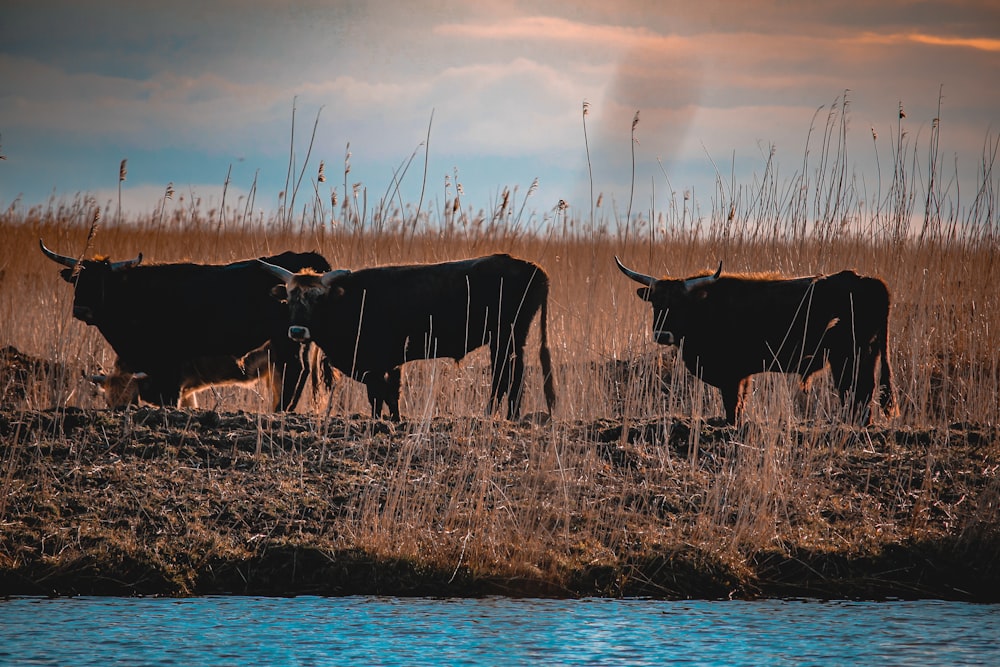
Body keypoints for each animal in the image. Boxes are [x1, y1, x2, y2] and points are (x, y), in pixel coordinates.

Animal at [41, 237, 330, 410]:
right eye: (77, 281)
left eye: (103, 283)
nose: (81, 309)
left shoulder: (169, 370)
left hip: (288, 340)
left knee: (296, 370)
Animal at [258, 253, 556, 420]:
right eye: (289, 298)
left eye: (318, 298)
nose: (297, 331)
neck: (350, 302)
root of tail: (532, 267)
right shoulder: (390, 363)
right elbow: (390, 394)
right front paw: (392, 420)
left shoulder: (375, 362)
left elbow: (379, 394)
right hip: (508, 340)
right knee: (509, 376)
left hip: (508, 338)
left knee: (508, 376)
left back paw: (502, 416)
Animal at [616, 258, 900, 426]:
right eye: (656, 303)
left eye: (680, 304)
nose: (662, 335)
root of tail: (870, 281)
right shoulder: (741, 375)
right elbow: (739, 403)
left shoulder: (730, 373)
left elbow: (732, 405)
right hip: (865, 355)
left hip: (850, 357)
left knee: (858, 391)